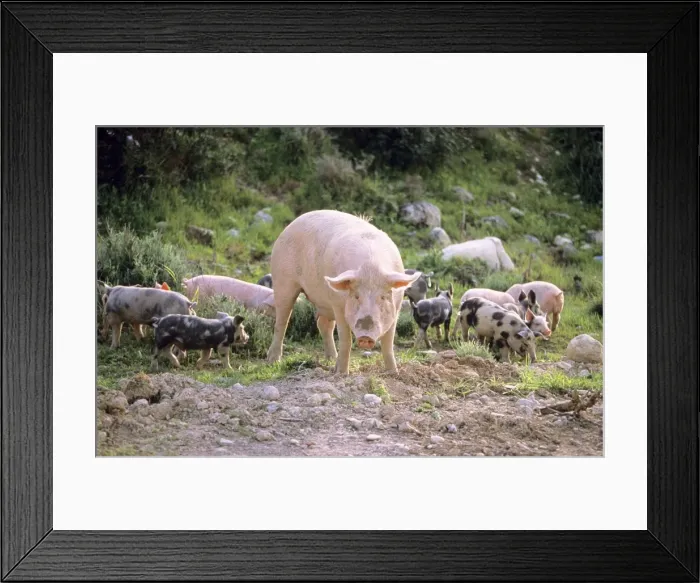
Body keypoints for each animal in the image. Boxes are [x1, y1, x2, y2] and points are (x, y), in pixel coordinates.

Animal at [266, 210, 421, 374]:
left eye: (383, 297)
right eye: (356, 296)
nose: (365, 336)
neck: (371, 267)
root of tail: (290, 225)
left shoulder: (396, 308)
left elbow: (388, 343)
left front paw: (393, 372)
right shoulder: (338, 305)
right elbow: (346, 339)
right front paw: (341, 374)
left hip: (324, 302)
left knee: (323, 324)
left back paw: (331, 359)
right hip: (283, 280)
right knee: (282, 321)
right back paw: (273, 361)